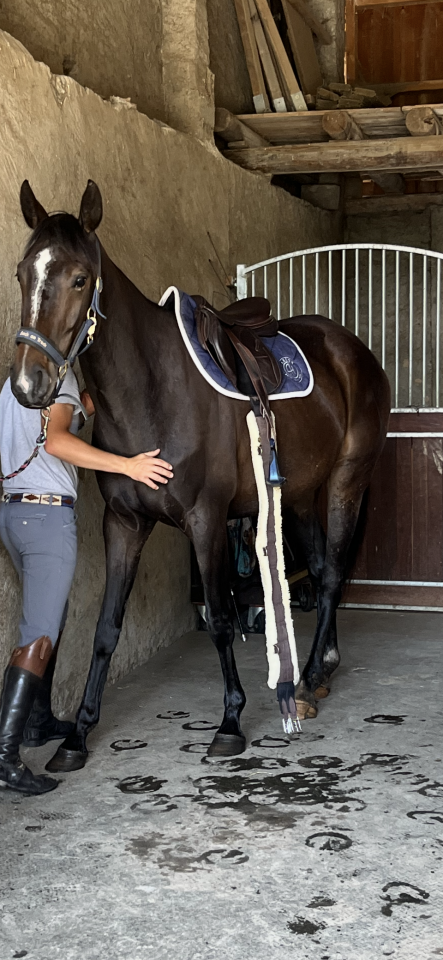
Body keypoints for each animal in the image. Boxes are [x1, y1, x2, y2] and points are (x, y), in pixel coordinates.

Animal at [10, 180, 391, 771]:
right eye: (22, 273)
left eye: (78, 278)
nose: (30, 384)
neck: (152, 393)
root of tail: (353, 350)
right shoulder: (123, 524)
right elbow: (106, 627)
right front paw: (77, 736)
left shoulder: (206, 520)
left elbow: (220, 619)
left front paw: (231, 722)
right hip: (300, 495)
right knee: (319, 566)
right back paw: (321, 668)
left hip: (346, 482)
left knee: (329, 576)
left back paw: (304, 683)